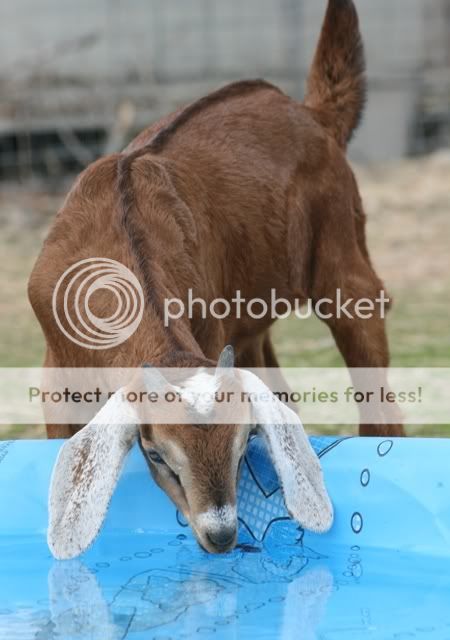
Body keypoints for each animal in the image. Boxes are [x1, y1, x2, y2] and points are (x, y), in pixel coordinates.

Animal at [28, 0, 403, 559]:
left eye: (245, 441)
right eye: (156, 454)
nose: (222, 534)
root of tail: (309, 113)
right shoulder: (57, 371)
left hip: (343, 254)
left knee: (376, 390)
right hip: (251, 317)